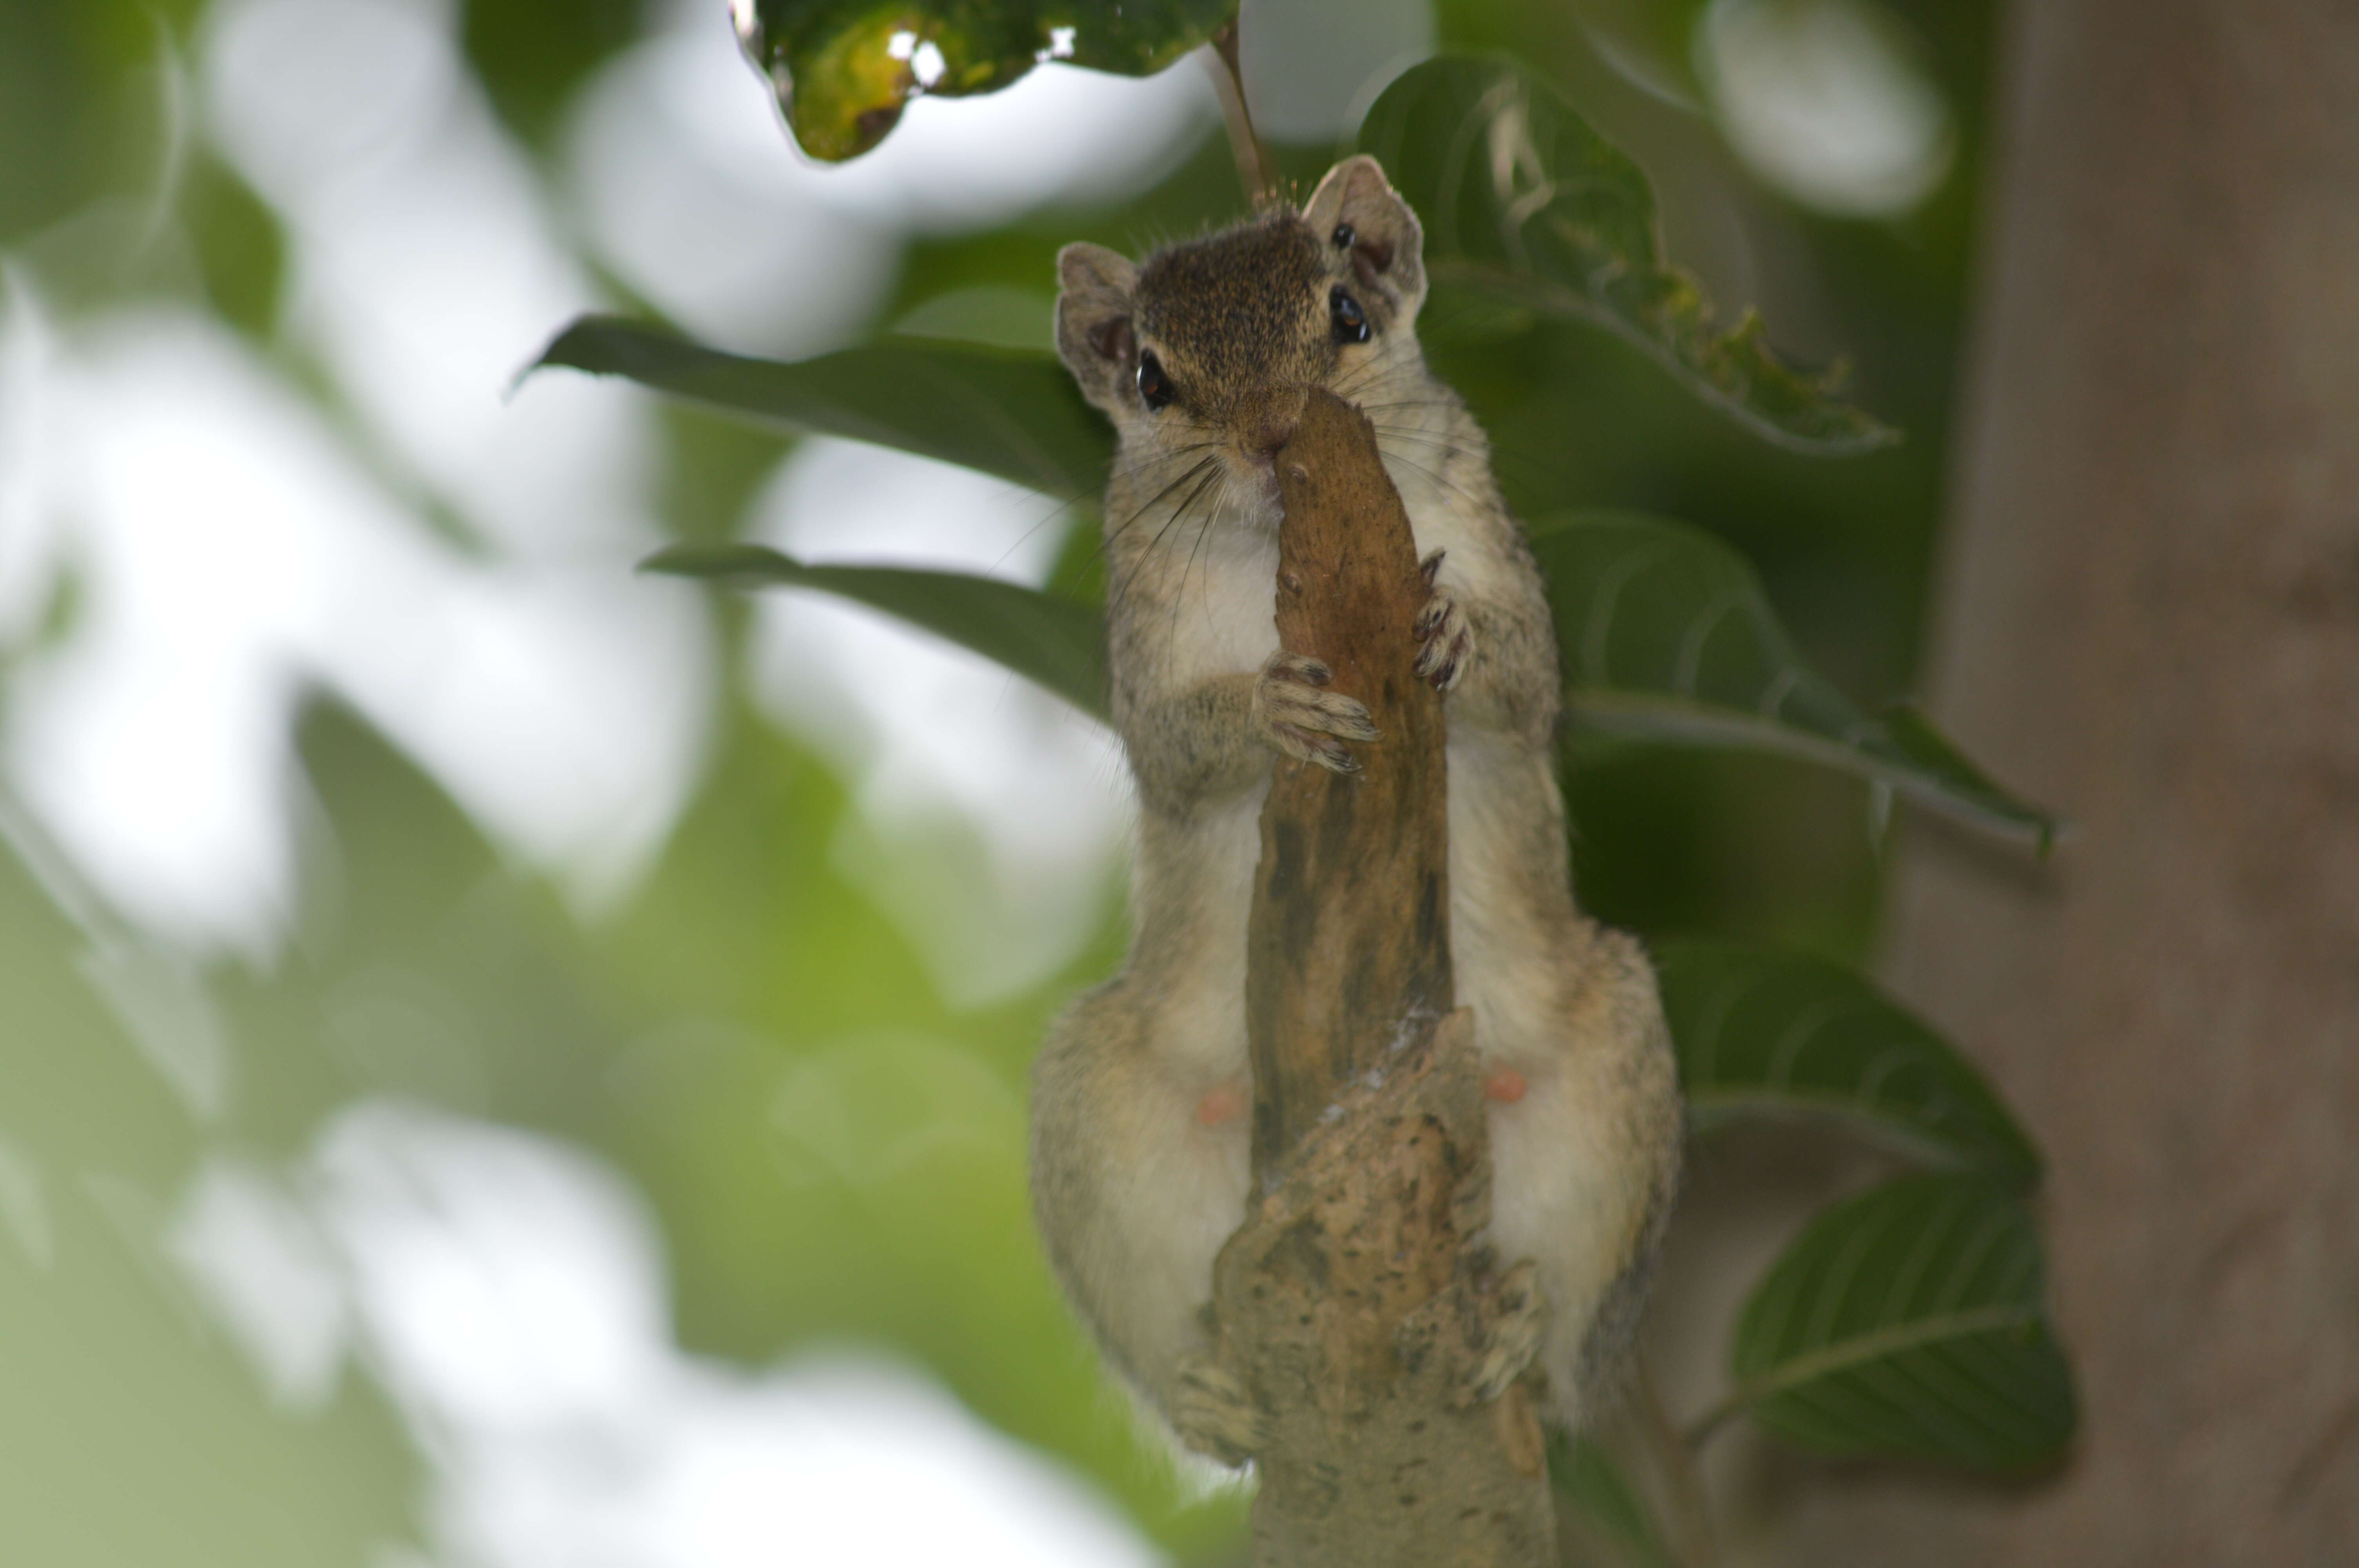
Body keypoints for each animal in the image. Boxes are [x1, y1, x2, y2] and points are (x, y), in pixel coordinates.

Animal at [1028, 153, 1679, 1462]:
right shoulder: (1140, 647)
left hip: (1613, 1084)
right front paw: (1269, 705)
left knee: (1566, 1348)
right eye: (1151, 379)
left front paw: (1455, 632)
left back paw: (1521, 1325)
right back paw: (1211, 1390)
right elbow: (1174, 749)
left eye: (1346, 315)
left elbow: (1531, 681)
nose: (1280, 435)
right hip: (1094, 1116)